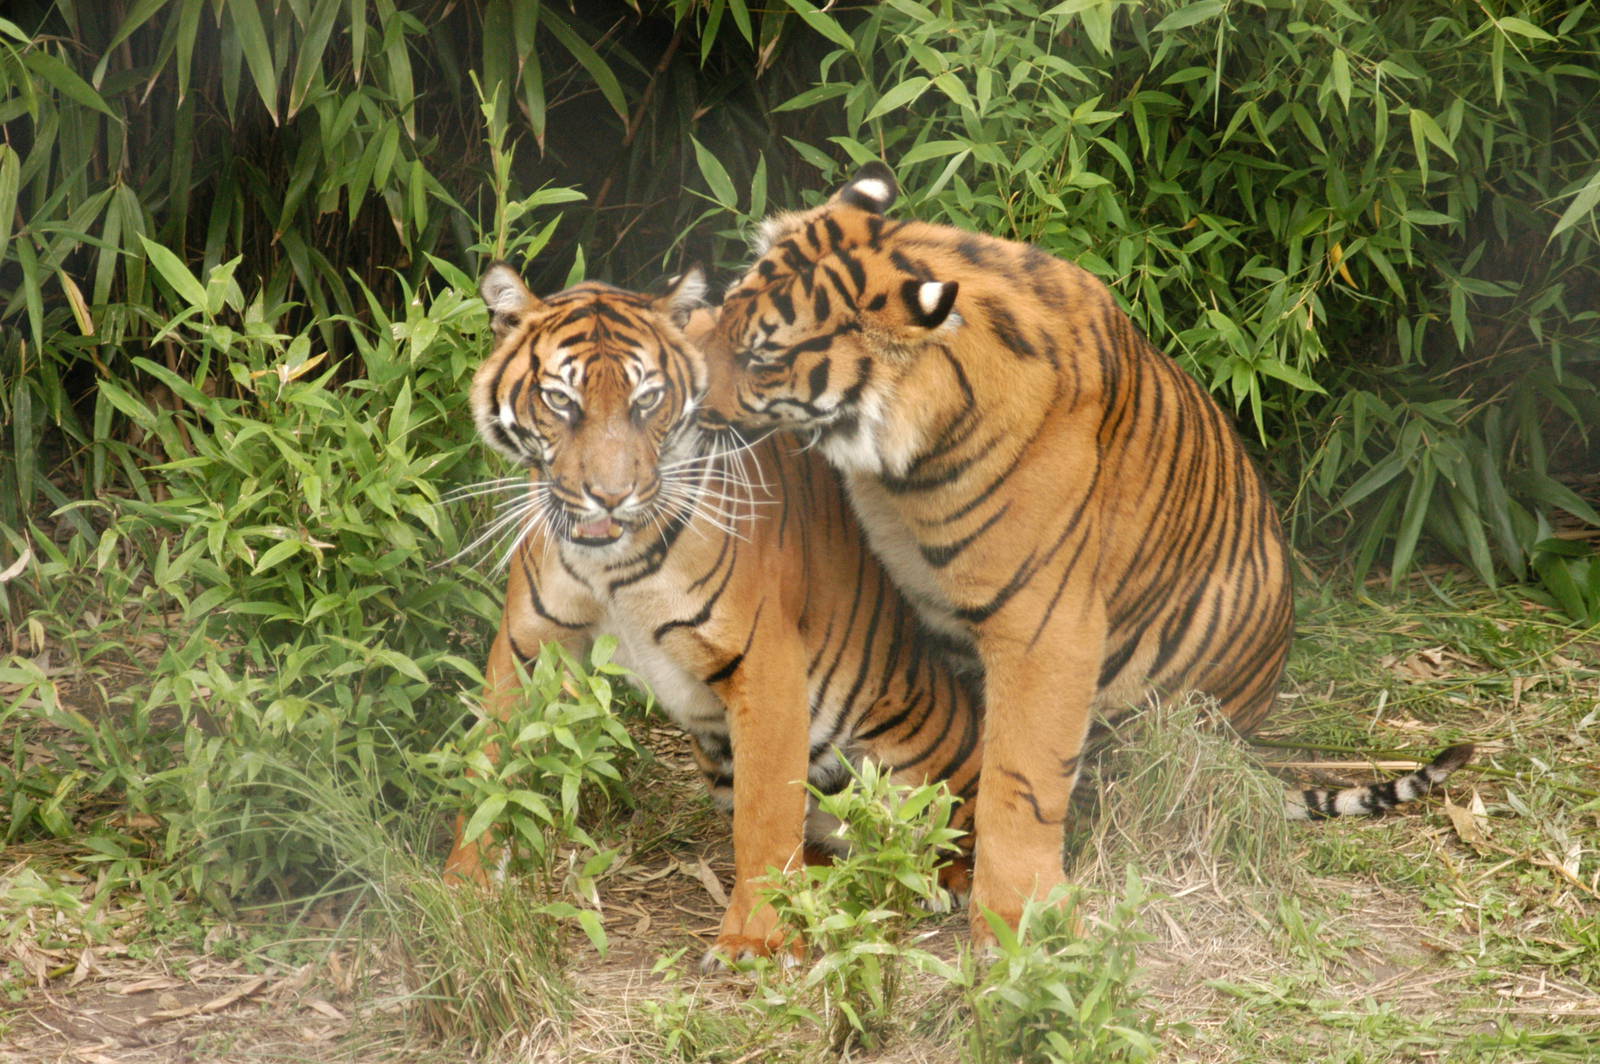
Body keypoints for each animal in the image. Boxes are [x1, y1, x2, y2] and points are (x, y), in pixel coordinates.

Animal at [443, 264, 986, 966]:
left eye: (647, 400)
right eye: (561, 401)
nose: (610, 496)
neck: (609, 565)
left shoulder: (765, 660)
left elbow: (764, 812)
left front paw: (755, 940)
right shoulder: (527, 647)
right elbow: (486, 767)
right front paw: (461, 886)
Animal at [695, 162, 1472, 940]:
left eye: (761, 357)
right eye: (725, 316)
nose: (689, 402)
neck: (896, 473)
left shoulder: (1047, 628)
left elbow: (1020, 780)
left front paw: (1014, 916)